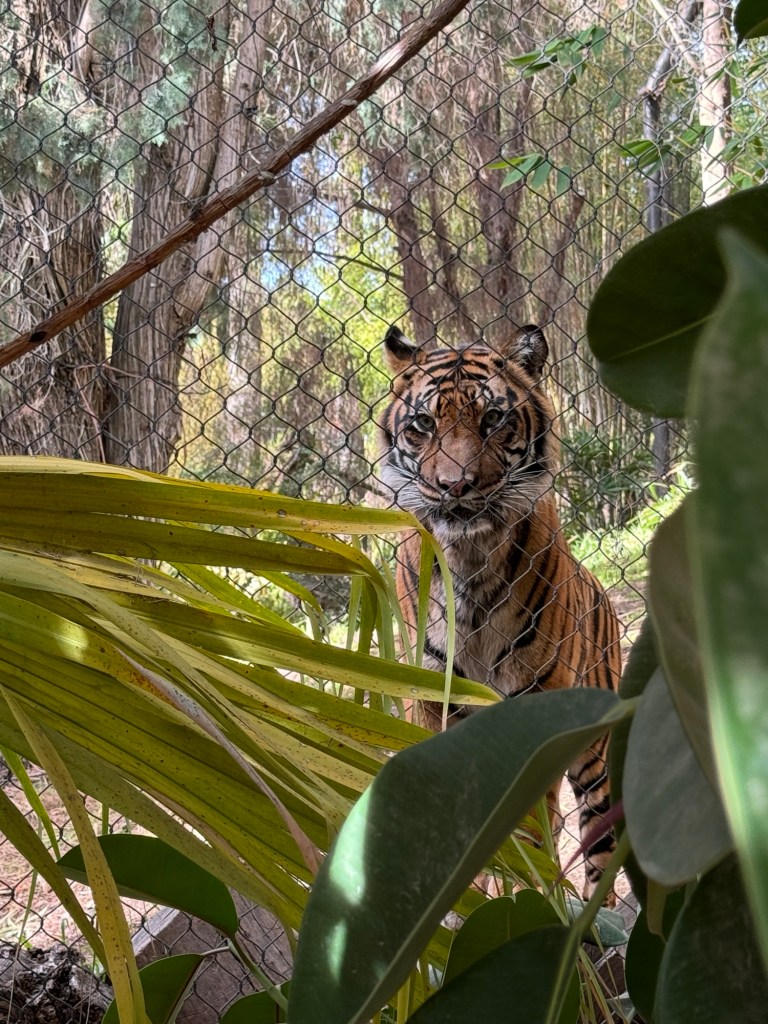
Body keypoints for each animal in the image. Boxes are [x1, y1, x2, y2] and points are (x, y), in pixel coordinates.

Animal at [377, 323, 622, 900]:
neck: (469, 561)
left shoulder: (533, 708)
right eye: (423, 424)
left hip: (595, 756)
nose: (456, 486)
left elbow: (529, 833)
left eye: (493, 418)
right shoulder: (432, 701)